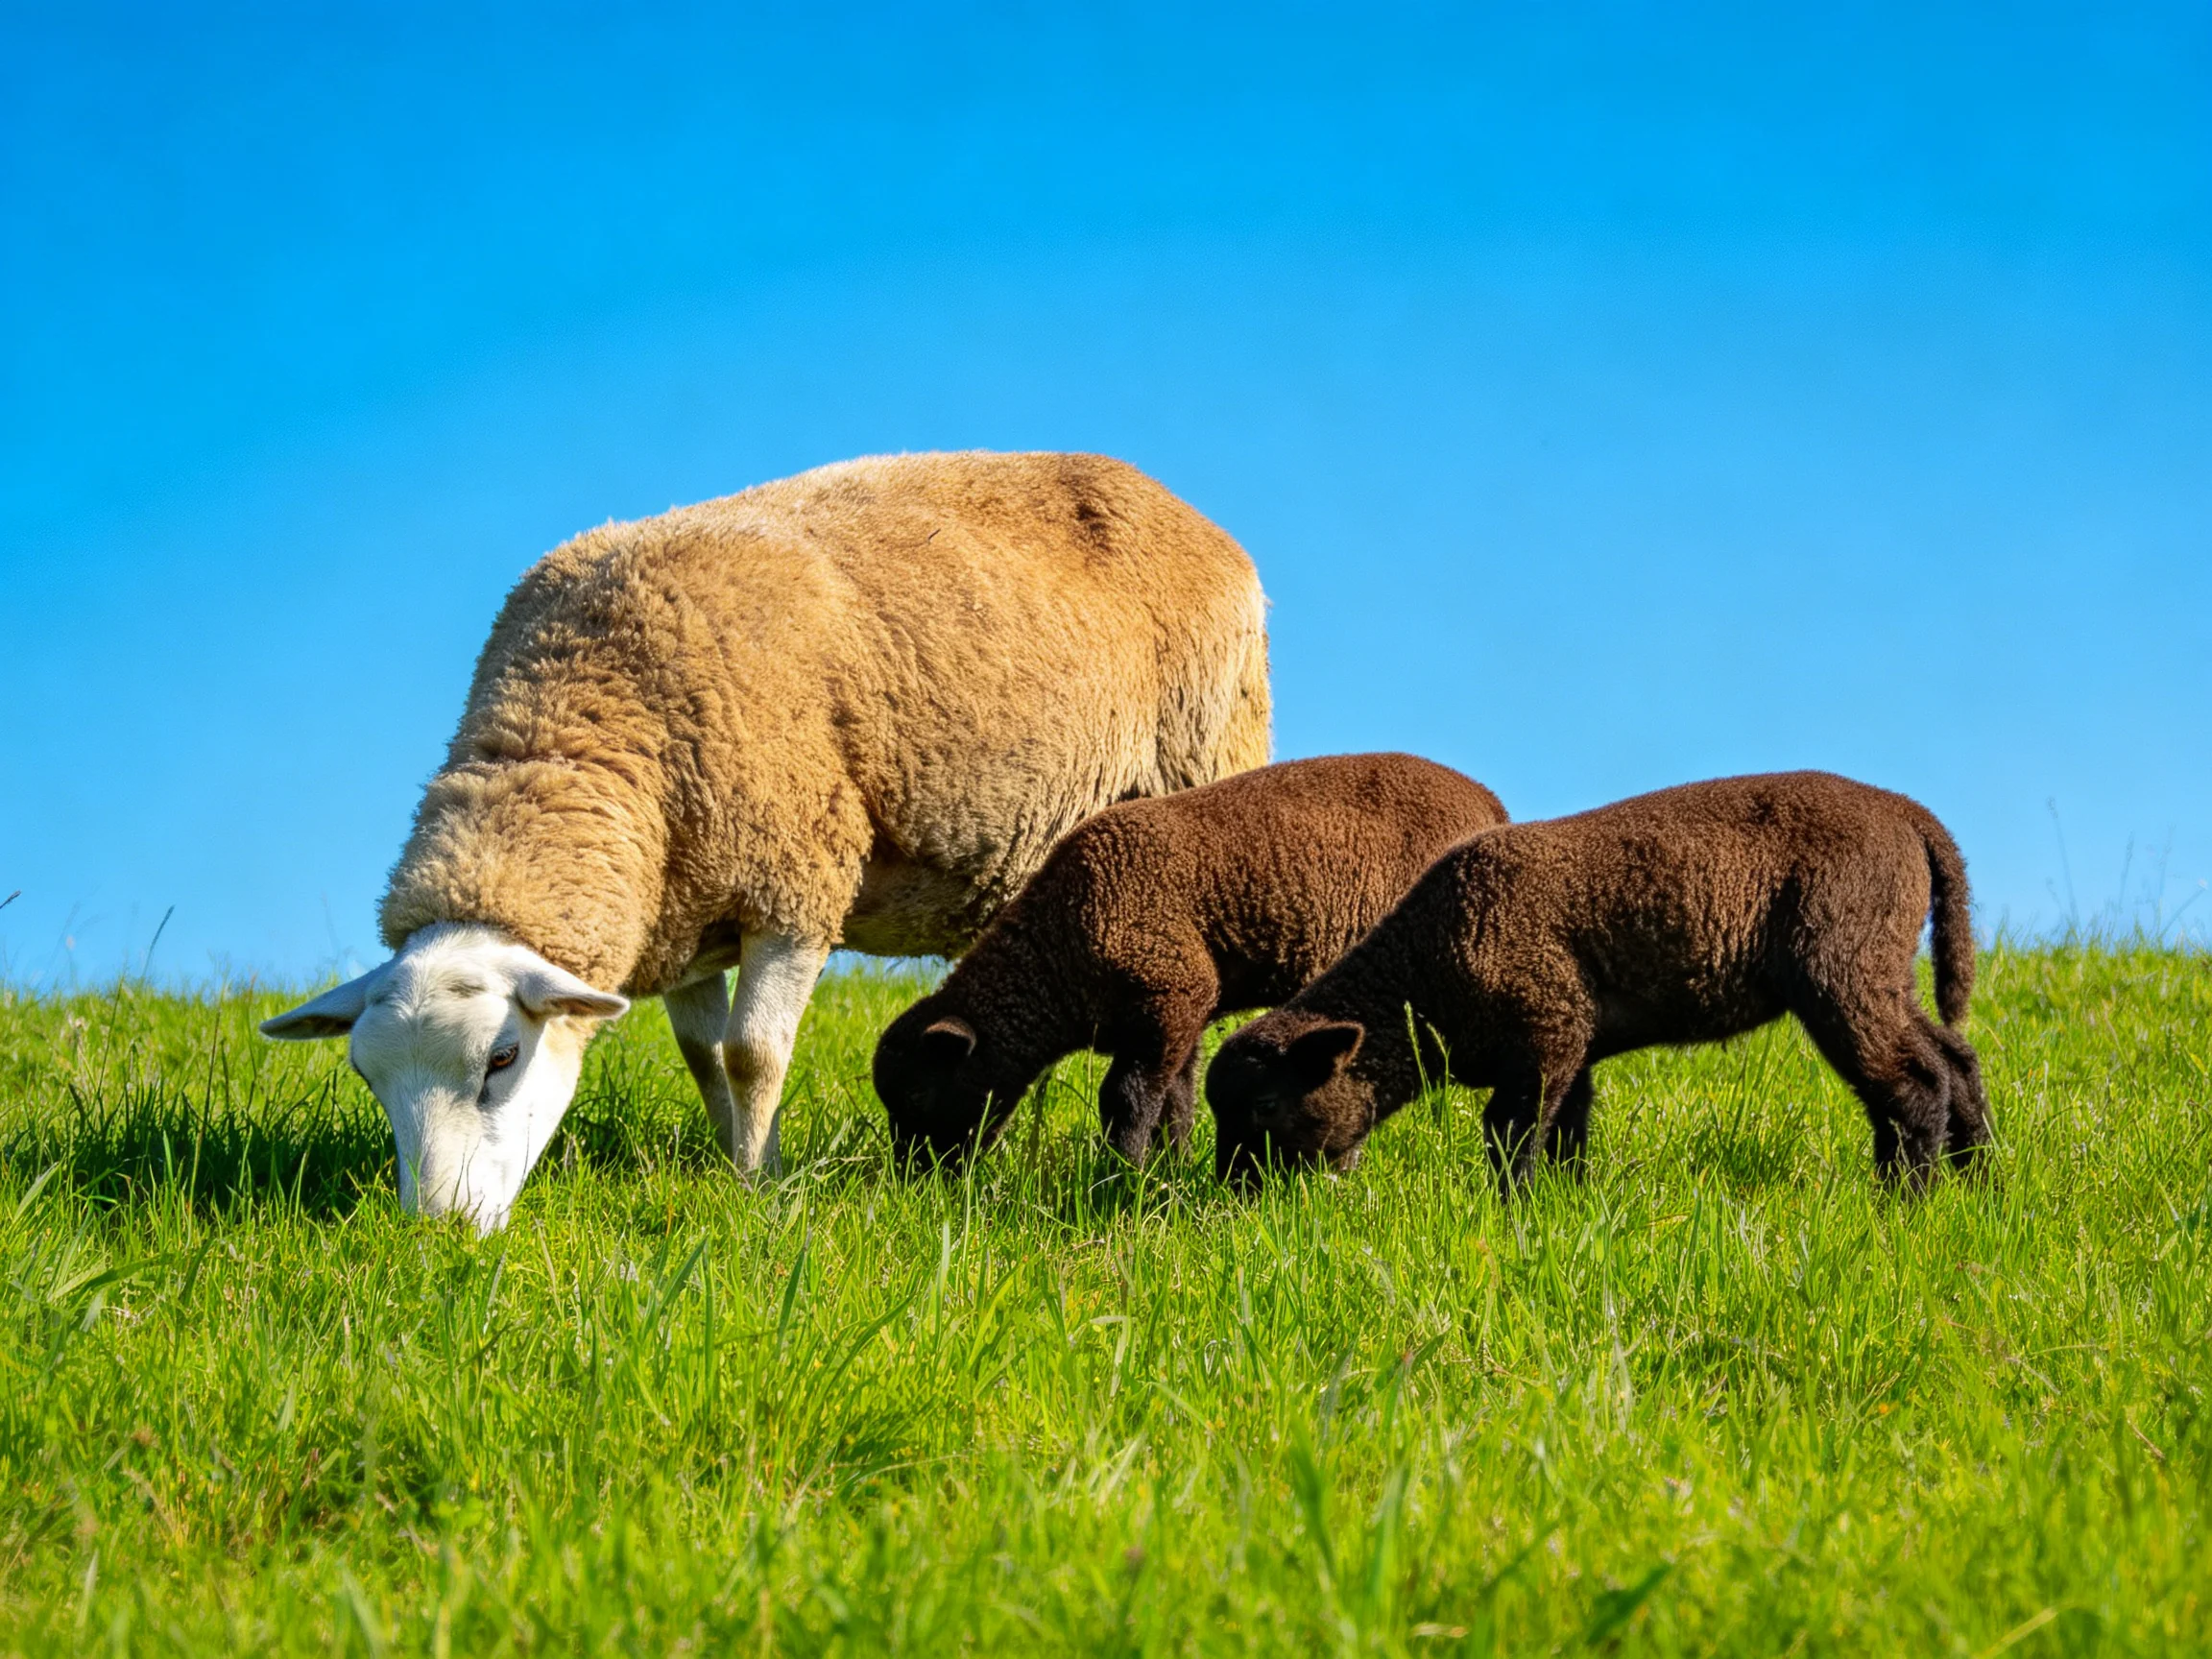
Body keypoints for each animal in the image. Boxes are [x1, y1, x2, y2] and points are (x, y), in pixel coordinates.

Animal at [261, 450, 1271, 1230]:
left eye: (500, 1060)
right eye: (367, 1077)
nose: (437, 1231)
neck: (583, 720)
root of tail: (1187, 512)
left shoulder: (795, 879)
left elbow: (754, 1053)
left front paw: (758, 1187)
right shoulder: (681, 916)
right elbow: (705, 1059)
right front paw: (737, 1158)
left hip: (1202, 768)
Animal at [874, 752, 1508, 1168]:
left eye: (916, 1094)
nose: (915, 1179)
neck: (1059, 948)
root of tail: (1490, 801)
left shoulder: (1171, 994)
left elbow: (1126, 1100)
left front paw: (1121, 1174)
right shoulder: (1181, 1016)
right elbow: (1176, 1103)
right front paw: (1165, 1172)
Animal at [1207, 771, 1988, 1194]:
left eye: (1268, 1104)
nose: (1227, 1199)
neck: (1423, 973)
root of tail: (1910, 816)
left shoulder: (1546, 1033)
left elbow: (1512, 1139)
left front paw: (1513, 1220)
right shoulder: (1571, 1042)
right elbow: (1566, 1141)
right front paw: (1566, 1213)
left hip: (1842, 960)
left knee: (1911, 1086)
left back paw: (1902, 1206)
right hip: (1883, 968)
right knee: (1954, 1062)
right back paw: (1982, 1188)